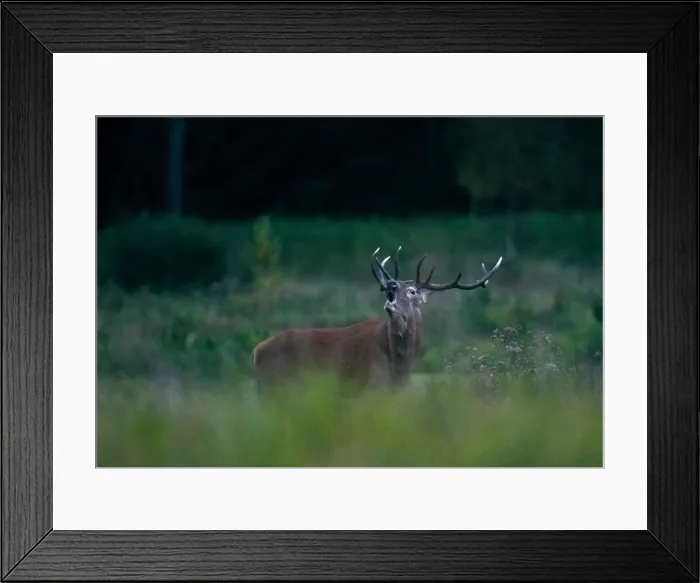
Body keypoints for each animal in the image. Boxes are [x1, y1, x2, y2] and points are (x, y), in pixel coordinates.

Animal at [251, 247, 503, 391]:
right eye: (392, 290)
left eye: (412, 291)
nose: (390, 286)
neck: (400, 364)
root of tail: (256, 352)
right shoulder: (370, 384)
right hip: (277, 385)